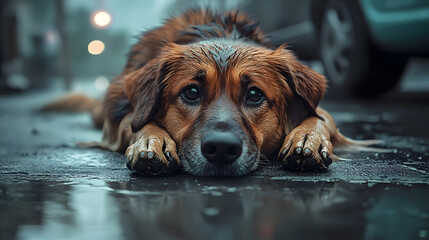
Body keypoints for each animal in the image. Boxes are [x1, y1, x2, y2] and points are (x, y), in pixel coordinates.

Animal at [43, 8, 364, 176]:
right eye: (191, 92)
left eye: (254, 95)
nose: (221, 149)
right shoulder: (121, 117)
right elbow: (135, 123)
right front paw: (151, 141)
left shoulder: (314, 106)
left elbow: (320, 118)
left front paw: (308, 138)